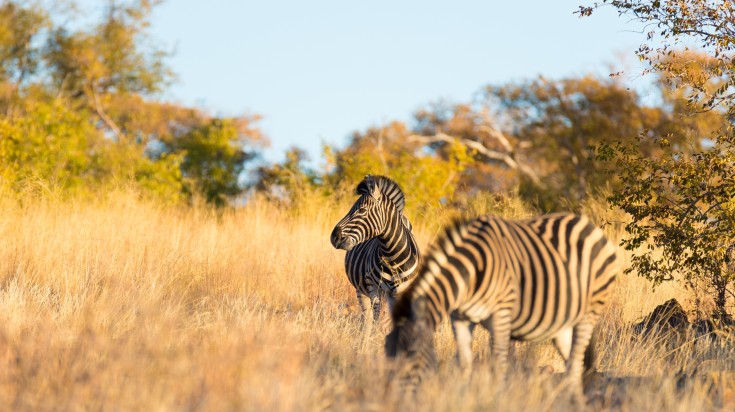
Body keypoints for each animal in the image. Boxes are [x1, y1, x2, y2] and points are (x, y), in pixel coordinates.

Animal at [332, 175, 422, 326]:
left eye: (362, 210)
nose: (333, 237)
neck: (392, 256)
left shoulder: (403, 291)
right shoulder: (373, 288)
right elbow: (375, 320)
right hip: (361, 290)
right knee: (367, 319)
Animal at [386, 214, 620, 392]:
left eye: (411, 355)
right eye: (387, 353)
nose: (393, 398)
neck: (471, 273)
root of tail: (588, 224)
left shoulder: (501, 314)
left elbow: (498, 364)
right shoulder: (459, 318)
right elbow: (464, 363)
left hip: (589, 312)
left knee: (576, 363)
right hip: (563, 322)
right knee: (574, 364)